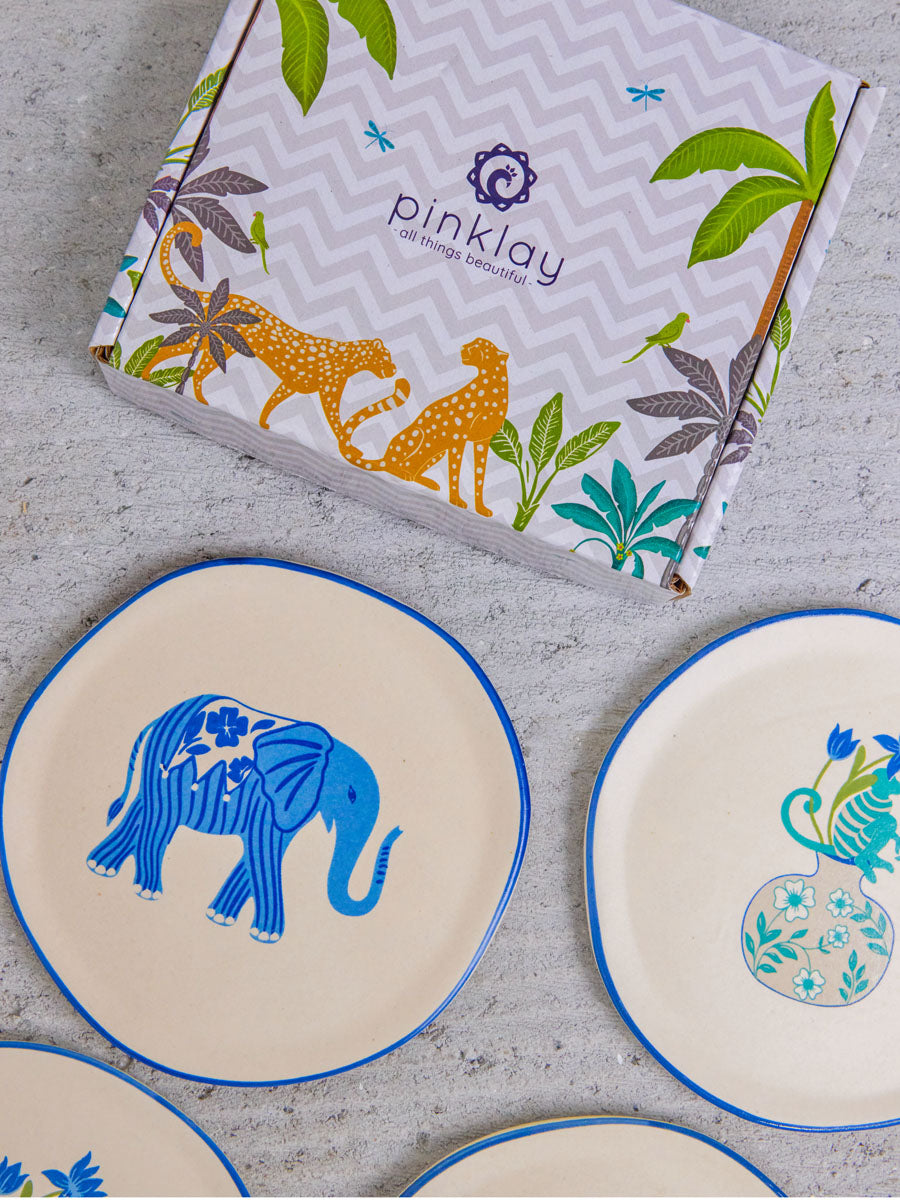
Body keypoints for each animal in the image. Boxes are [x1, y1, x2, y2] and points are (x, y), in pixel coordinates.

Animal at [86, 695, 402, 942]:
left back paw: (100, 867)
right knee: (161, 817)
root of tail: (161, 716)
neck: (329, 746)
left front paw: (220, 918)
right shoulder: (266, 802)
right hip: (167, 766)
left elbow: (265, 853)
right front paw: (267, 935)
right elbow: (262, 851)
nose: (398, 832)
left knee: (143, 807)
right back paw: (147, 891)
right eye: (351, 794)